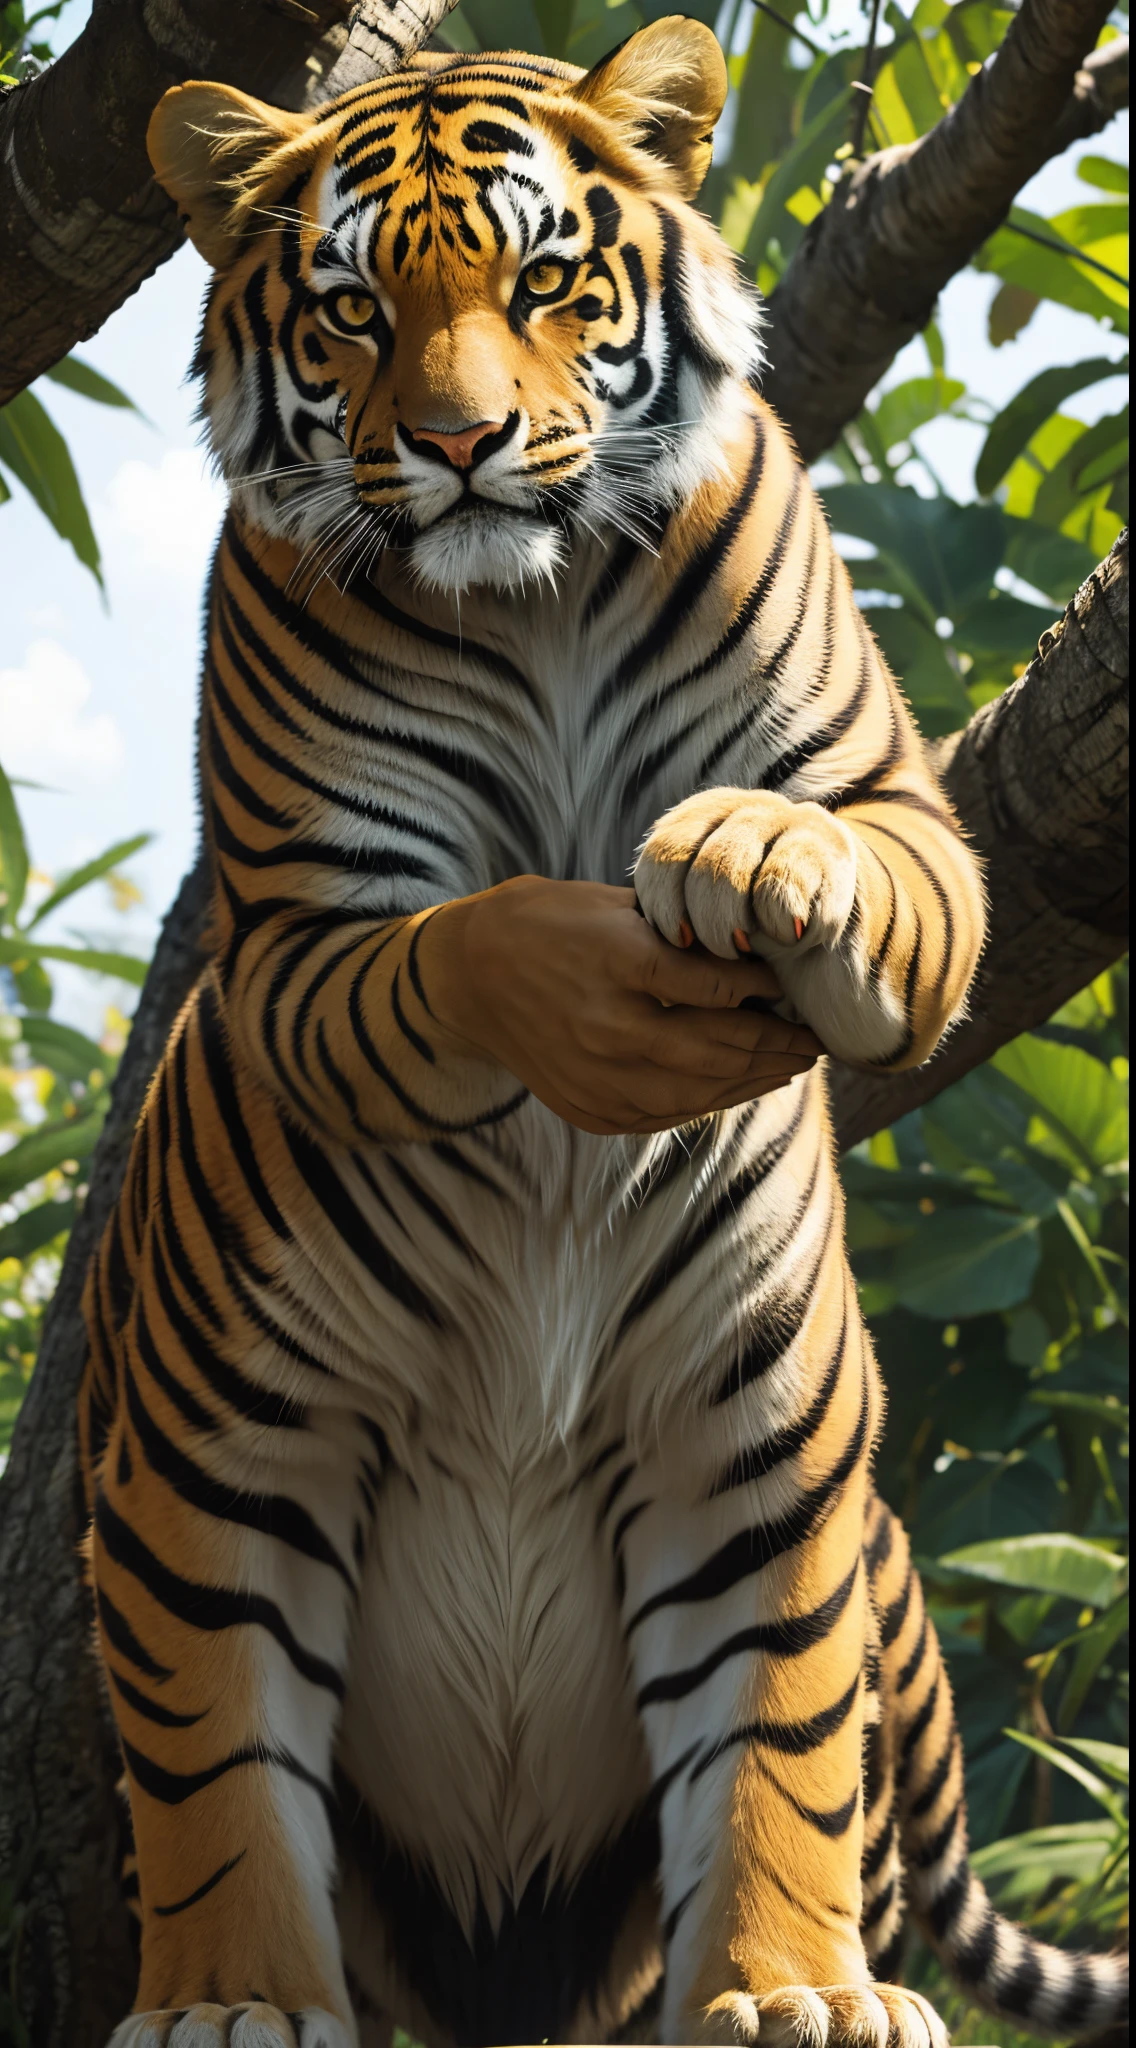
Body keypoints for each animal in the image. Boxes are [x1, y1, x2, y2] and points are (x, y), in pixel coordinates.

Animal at [77, 16, 1129, 2048]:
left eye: (545, 284)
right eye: (350, 313)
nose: (460, 444)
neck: (535, 602)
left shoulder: (906, 820)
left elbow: (779, 1750)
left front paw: (792, 1997)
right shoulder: (300, 934)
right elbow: (465, 947)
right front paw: (234, 2007)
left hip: (780, 1454)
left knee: (797, 1736)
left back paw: (826, 1977)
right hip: (216, 1457)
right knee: (211, 1735)